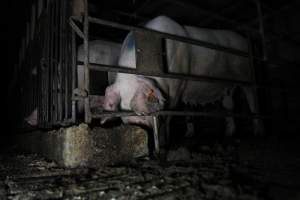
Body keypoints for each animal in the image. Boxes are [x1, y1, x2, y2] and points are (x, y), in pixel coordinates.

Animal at [102, 15, 262, 136]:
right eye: (123, 108)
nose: (135, 122)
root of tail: (245, 41)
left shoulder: (177, 86)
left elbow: (170, 114)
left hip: (247, 75)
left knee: (252, 100)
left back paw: (258, 132)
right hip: (227, 85)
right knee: (229, 104)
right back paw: (229, 133)